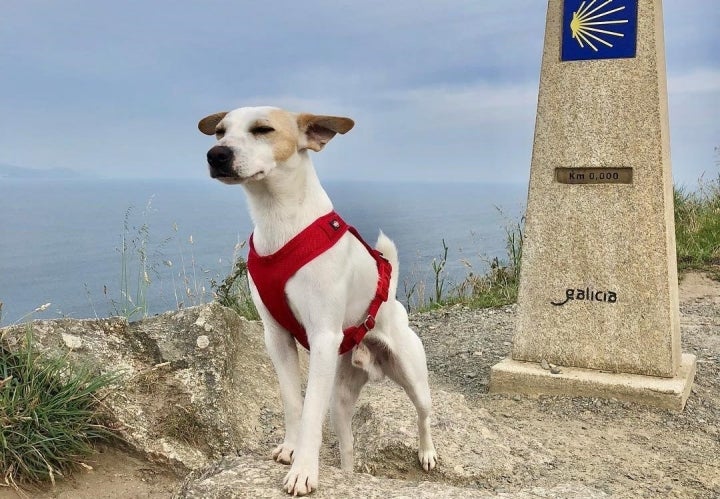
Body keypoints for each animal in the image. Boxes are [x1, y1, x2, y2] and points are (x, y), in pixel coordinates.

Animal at [198, 106, 438, 496]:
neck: (279, 221)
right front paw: (291, 448)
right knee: (348, 446)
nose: (216, 155)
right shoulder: (276, 337)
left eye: (263, 129)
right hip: (340, 399)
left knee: (423, 416)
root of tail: (389, 294)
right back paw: (348, 475)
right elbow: (293, 401)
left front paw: (304, 470)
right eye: (220, 131)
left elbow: (310, 410)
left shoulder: (323, 337)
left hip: (414, 378)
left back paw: (427, 453)